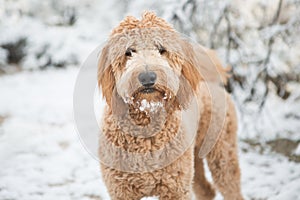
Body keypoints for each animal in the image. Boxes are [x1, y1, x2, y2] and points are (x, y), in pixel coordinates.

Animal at [97, 11, 243, 199]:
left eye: (161, 50)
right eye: (128, 51)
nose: (147, 77)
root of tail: (207, 78)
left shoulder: (176, 188)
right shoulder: (121, 191)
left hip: (221, 153)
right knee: (206, 190)